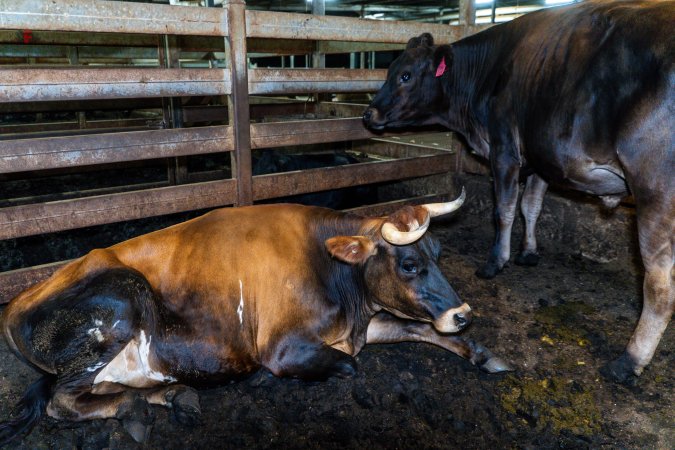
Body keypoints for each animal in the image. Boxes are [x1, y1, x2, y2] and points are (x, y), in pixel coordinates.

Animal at [0, 193, 508, 442]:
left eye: (439, 253)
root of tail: (17, 303)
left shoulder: (366, 324)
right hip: (121, 299)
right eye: (409, 264)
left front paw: (482, 353)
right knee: (63, 401)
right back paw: (142, 409)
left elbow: (417, 328)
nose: (463, 314)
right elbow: (350, 366)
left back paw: (175, 397)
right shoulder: (284, 349)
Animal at [368, 0, 672, 386]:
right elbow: (532, 206)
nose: (368, 113)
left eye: (405, 75)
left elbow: (505, 209)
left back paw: (628, 361)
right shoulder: (541, 160)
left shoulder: (504, 150)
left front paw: (496, 261)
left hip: (655, 190)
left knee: (659, 285)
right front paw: (528, 252)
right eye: (391, 70)